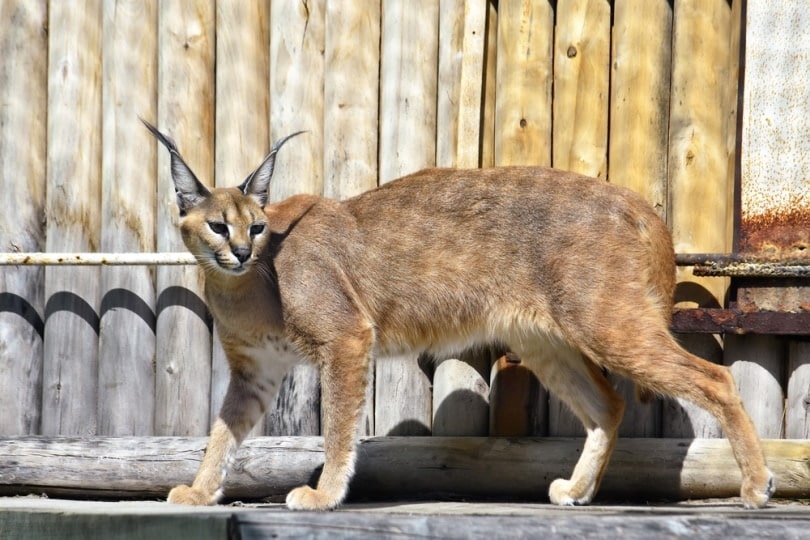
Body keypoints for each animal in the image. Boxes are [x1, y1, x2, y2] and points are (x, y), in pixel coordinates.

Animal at [142, 121, 772, 510]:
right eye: (217, 226)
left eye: (256, 226)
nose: (241, 251)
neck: (244, 285)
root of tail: (632, 197)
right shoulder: (254, 374)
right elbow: (221, 435)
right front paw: (199, 492)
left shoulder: (346, 338)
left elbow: (338, 427)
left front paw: (323, 495)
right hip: (546, 340)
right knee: (608, 405)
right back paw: (577, 489)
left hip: (606, 322)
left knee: (715, 377)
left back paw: (756, 485)